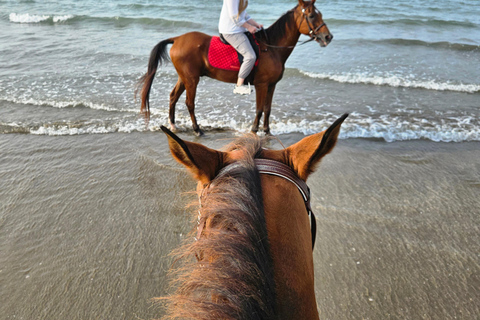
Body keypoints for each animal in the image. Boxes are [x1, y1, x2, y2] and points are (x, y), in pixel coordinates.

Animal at [139, 0, 332, 136]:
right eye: (312, 16)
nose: (328, 37)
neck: (271, 47)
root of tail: (177, 38)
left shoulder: (271, 85)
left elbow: (268, 109)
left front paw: (267, 131)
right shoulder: (262, 85)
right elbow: (260, 109)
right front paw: (254, 130)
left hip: (184, 77)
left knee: (173, 96)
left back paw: (173, 125)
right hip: (192, 80)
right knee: (189, 103)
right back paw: (197, 129)